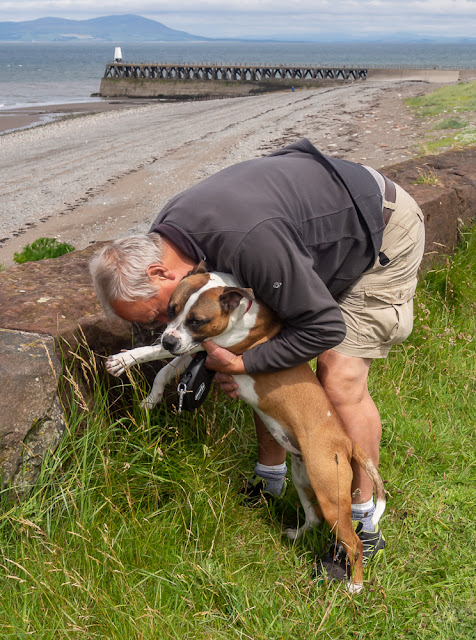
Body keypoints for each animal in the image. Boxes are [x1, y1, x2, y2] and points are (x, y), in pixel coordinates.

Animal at [106, 266, 384, 596]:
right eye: (172, 309)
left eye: (196, 320)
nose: (169, 338)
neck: (241, 310)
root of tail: (346, 441)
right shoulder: (194, 350)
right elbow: (163, 369)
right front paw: (149, 396)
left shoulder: (205, 345)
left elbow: (155, 354)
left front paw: (128, 360)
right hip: (305, 479)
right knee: (314, 517)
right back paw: (295, 534)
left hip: (331, 494)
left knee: (353, 542)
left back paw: (355, 586)